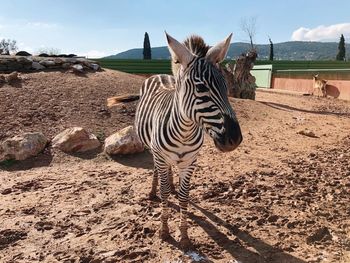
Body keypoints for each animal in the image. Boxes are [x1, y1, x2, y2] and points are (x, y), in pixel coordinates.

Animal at [108, 33, 242, 250]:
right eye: (201, 87)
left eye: (225, 86)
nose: (234, 139)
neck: (184, 133)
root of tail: (160, 75)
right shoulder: (161, 156)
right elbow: (164, 193)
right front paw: (164, 230)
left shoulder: (190, 162)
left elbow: (184, 196)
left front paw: (184, 235)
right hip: (153, 149)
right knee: (156, 170)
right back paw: (153, 191)